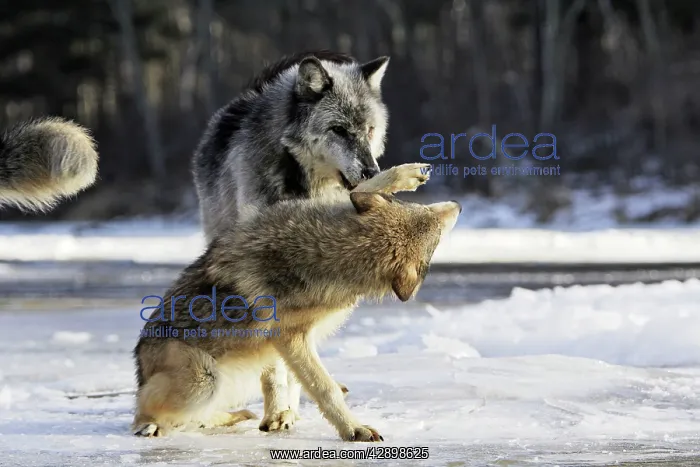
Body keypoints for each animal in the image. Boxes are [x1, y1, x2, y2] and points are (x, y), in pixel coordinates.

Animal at [132, 187, 461, 441]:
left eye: (423, 209)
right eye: (437, 228)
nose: (458, 204)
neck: (329, 252)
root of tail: (140, 366)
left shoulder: (286, 345)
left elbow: (288, 383)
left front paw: (282, 418)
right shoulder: (291, 338)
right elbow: (324, 388)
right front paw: (353, 430)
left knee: (192, 417)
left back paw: (233, 417)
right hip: (204, 379)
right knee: (147, 411)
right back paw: (150, 426)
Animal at [191, 49, 428, 423]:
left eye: (369, 130)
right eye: (339, 130)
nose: (372, 171)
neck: (303, 186)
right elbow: (273, 358)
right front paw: (277, 413)